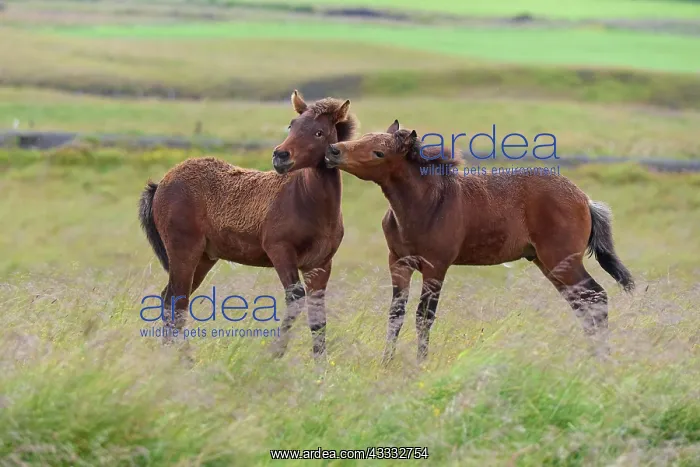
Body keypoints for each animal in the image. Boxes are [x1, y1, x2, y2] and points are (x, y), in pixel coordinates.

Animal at [138, 91, 358, 359]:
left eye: (319, 132)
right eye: (292, 126)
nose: (280, 156)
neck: (306, 201)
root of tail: (161, 183)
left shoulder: (320, 264)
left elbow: (318, 319)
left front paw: (320, 367)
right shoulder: (279, 250)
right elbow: (295, 297)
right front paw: (274, 354)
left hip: (203, 258)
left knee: (170, 298)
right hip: (184, 250)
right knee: (176, 301)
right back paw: (182, 359)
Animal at [324, 120, 635, 363]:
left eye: (379, 152)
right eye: (364, 137)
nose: (333, 150)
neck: (426, 204)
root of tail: (585, 200)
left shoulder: (436, 266)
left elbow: (424, 317)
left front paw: (420, 363)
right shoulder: (398, 262)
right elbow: (396, 314)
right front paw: (386, 362)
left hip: (562, 259)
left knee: (596, 296)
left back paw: (601, 358)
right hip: (549, 264)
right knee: (582, 303)